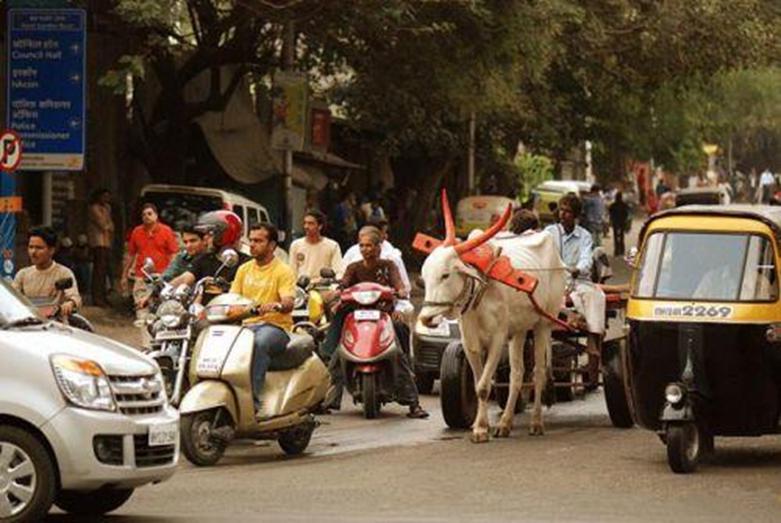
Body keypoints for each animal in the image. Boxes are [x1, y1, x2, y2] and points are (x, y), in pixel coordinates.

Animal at [418, 195, 564, 442]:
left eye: (445, 275)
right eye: (424, 274)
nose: (427, 318)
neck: (480, 290)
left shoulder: (498, 338)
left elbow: (485, 387)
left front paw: (480, 429)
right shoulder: (471, 342)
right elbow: (479, 385)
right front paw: (481, 425)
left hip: (544, 323)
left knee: (538, 373)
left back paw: (536, 422)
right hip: (519, 330)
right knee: (517, 373)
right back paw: (505, 423)